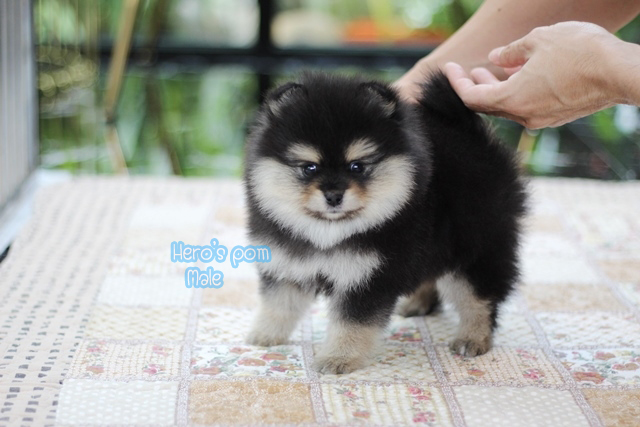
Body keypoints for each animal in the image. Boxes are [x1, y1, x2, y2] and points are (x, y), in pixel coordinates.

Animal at [243, 71, 527, 374]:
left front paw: (338, 358)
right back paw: (417, 304)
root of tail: (471, 133)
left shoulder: (368, 276)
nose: (334, 195)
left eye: (357, 166)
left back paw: (473, 337)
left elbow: (352, 323)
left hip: (476, 248)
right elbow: (278, 304)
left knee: (480, 297)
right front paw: (264, 335)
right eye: (310, 168)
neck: (329, 230)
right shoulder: (287, 263)